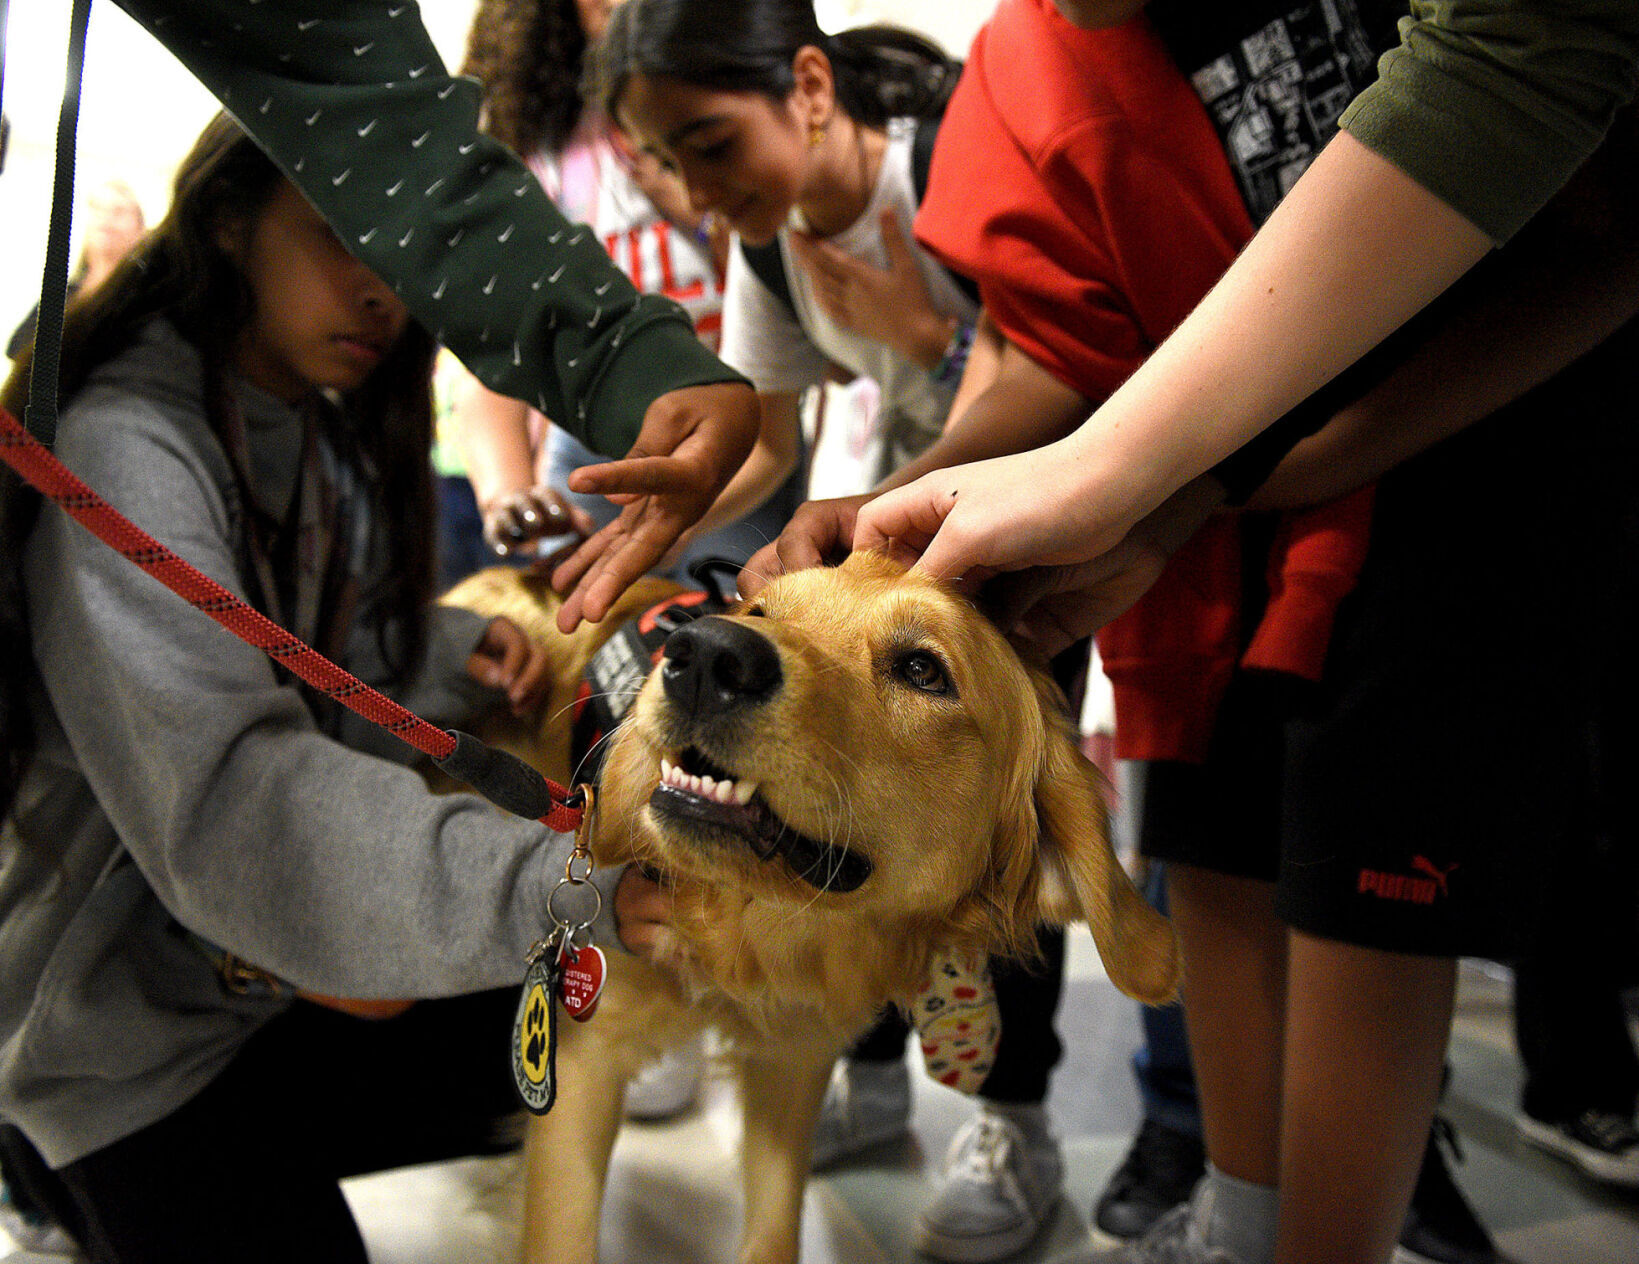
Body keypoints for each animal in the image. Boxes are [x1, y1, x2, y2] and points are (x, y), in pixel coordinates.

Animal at [442, 554, 1173, 1264]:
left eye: (922, 669)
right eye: (758, 611)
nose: (707, 654)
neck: (750, 934)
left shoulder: (794, 1061)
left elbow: (773, 1233)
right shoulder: (583, 1060)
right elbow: (562, 1237)